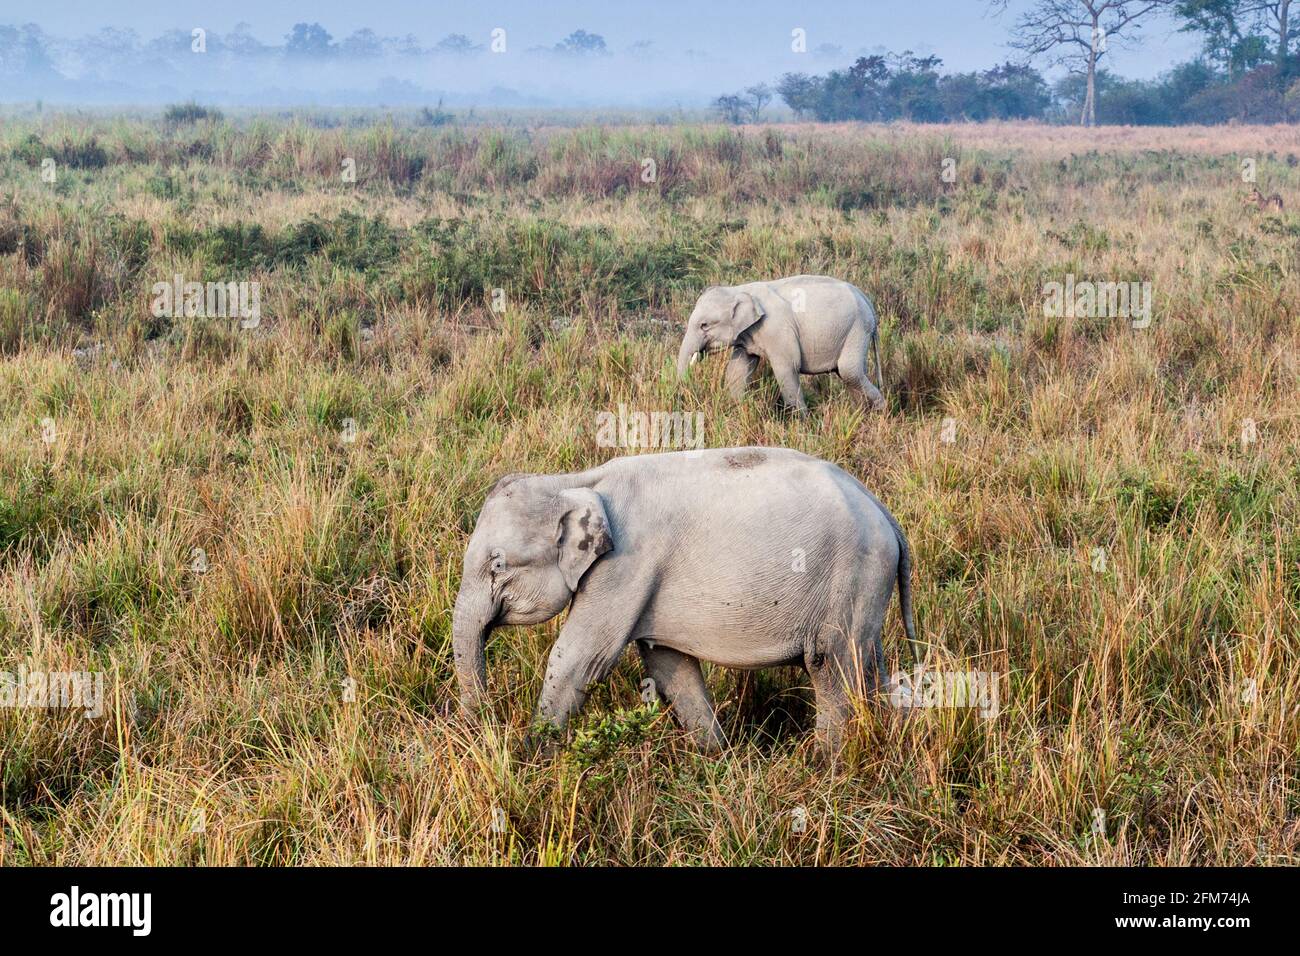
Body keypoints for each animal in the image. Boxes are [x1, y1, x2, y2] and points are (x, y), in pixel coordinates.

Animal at [452, 447, 920, 754]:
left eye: (497, 566)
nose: (484, 729)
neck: (576, 481)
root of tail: (883, 511)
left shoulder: (626, 565)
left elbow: (579, 658)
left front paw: (531, 760)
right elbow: (668, 664)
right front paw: (715, 760)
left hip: (852, 574)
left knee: (830, 664)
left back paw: (827, 764)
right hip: (865, 587)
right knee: (868, 664)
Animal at [681, 274, 883, 413]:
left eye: (704, 325)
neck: (738, 289)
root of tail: (866, 299)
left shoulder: (777, 330)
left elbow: (787, 368)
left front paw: (802, 424)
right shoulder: (748, 335)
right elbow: (737, 369)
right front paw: (735, 408)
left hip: (858, 328)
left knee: (849, 371)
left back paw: (881, 409)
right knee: (847, 374)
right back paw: (860, 414)